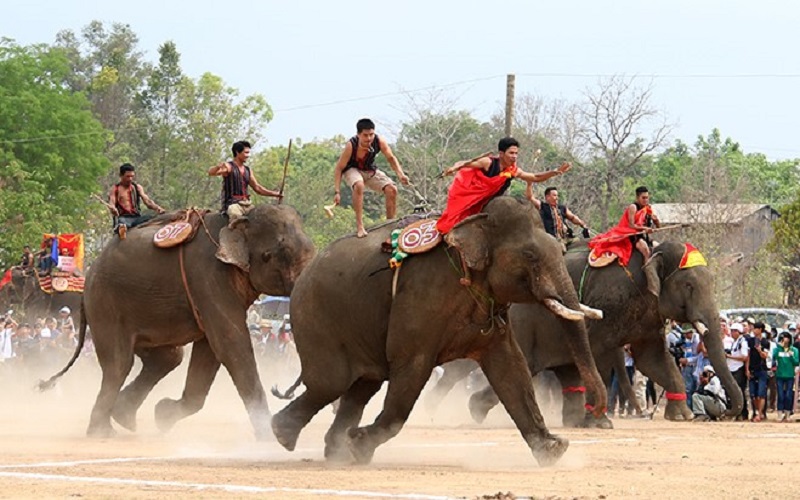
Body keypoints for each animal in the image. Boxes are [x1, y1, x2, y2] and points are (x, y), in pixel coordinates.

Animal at [39, 205, 316, 440]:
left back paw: (123, 418)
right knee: (119, 363)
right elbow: (231, 344)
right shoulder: (208, 277)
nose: (280, 389)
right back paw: (103, 433)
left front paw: (162, 416)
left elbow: (211, 350)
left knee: (168, 358)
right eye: (269, 256)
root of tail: (87, 275)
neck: (237, 221)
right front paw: (269, 437)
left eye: (312, 249)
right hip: (106, 305)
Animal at [268, 197, 608, 466]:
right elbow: (412, 369)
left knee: (362, 386)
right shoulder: (421, 297)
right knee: (331, 383)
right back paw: (284, 435)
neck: (474, 222)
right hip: (316, 318)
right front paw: (359, 443)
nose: (599, 413)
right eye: (530, 256)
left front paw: (554, 450)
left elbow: (511, 367)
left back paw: (333, 452)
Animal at [466, 241, 748, 426]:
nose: (726, 414)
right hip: (523, 322)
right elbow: (599, 351)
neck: (651, 249)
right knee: (523, 365)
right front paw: (600, 423)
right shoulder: (608, 301)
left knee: (565, 373)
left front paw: (680, 417)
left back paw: (571, 422)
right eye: (689, 285)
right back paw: (474, 410)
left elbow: (652, 359)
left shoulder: (650, 316)